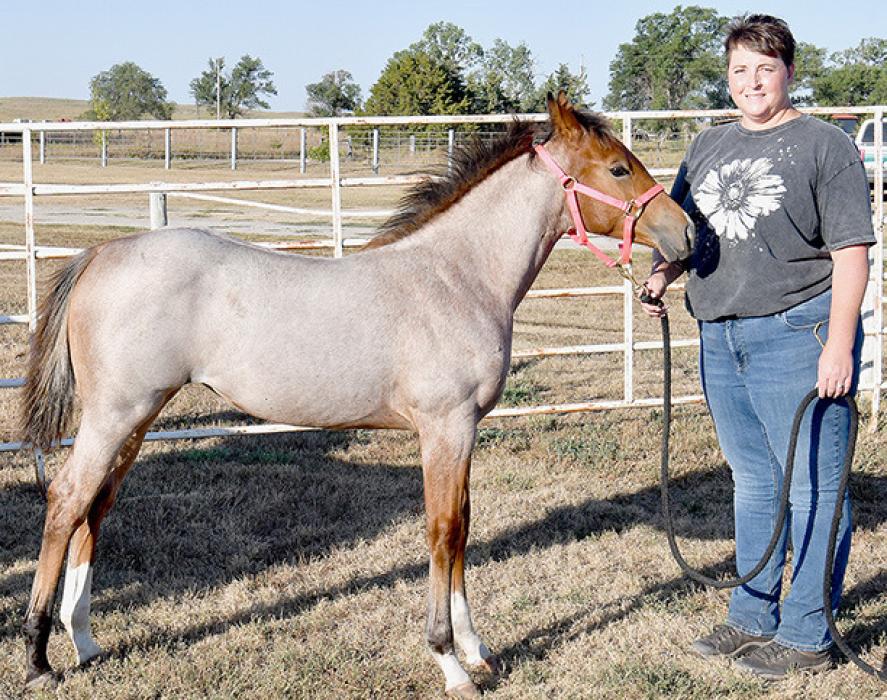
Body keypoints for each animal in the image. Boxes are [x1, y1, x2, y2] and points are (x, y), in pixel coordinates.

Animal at [20, 93, 693, 698]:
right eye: (618, 168)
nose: (686, 235)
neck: (457, 277)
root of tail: (101, 253)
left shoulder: (464, 430)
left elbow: (464, 527)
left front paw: (478, 651)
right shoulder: (445, 428)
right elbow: (444, 529)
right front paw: (450, 663)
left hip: (137, 418)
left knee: (95, 507)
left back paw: (84, 641)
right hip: (116, 414)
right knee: (67, 500)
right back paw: (37, 657)